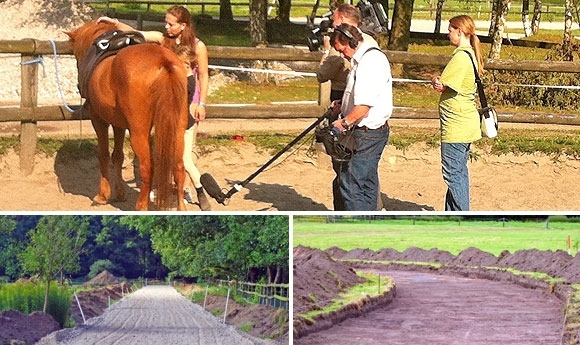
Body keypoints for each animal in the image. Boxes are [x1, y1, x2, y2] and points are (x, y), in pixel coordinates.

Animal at [67, 21, 187, 211]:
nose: (79, 85)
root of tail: (163, 61)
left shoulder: (98, 119)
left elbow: (103, 155)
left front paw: (102, 195)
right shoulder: (119, 124)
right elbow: (117, 156)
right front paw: (120, 193)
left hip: (139, 133)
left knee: (147, 167)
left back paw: (141, 206)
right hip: (177, 130)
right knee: (179, 167)